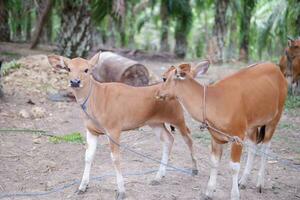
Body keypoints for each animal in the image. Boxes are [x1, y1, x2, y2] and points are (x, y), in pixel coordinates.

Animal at [48, 52, 198, 199]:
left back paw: (194, 169)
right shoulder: (91, 131)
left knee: (189, 139)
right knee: (168, 140)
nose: (75, 82)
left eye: (86, 70)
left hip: (178, 117)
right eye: (68, 69)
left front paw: (121, 191)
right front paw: (82, 187)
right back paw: (158, 177)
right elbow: (88, 157)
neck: (95, 100)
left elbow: (115, 159)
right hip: (155, 123)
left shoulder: (114, 129)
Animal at [156, 61, 288, 199]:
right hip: (252, 126)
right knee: (253, 146)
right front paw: (209, 192)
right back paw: (243, 181)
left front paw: (234, 195)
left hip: (274, 119)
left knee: (265, 148)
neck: (215, 102)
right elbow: (214, 162)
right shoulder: (216, 138)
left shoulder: (237, 137)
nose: (158, 93)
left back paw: (260, 183)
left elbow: (234, 167)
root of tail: (275, 68)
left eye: (164, 78)